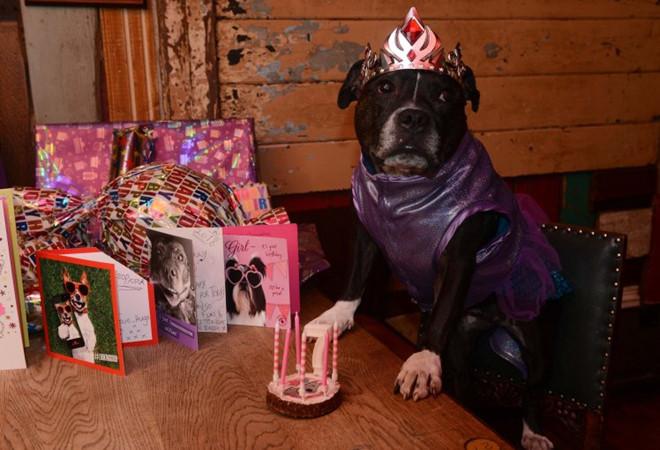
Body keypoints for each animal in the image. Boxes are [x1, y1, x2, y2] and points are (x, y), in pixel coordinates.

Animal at [306, 8, 563, 450]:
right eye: (384, 88)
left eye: (445, 96)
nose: (413, 117)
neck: (406, 188)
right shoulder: (366, 235)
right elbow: (355, 279)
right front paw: (335, 317)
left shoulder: (458, 255)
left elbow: (441, 312)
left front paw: (423, 363)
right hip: (462, 347)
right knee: (463, 377)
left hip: (535, 340)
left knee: (533, 388)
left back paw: (533, 434)